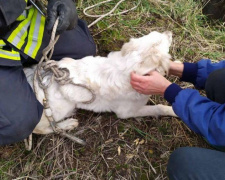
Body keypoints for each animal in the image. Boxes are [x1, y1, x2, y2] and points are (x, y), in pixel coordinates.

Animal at [23, 31, 175, 135]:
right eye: (164, 40)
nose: (169, 32)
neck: (128, 67)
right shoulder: (127, 112)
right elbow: (159, 108)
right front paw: (172, 111)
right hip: (60, 108)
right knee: (41, 129)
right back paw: (67, 124)